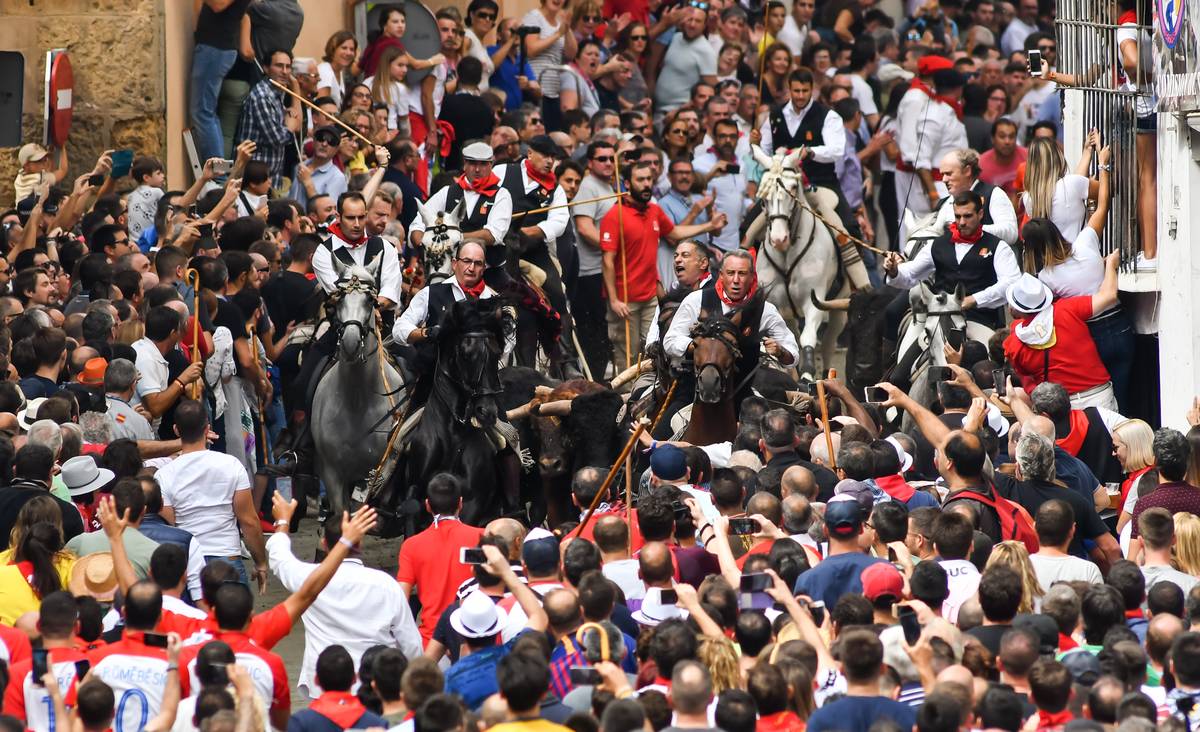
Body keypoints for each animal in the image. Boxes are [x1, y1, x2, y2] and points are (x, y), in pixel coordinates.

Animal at [309, 256, 403, 518]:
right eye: (338, 299)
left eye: (370, 300)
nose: (350, 343)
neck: (357, 401)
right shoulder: (332, 475)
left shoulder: (380, 473)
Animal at [753, 144, 849, 379]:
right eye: (763, 194)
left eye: (793, 187)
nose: (779, 239)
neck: (787, 254)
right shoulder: (777, 306)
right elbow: (789, 342)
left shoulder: (814, 301)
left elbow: (807, 339)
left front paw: (807, 377)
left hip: (839, 307)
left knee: (828, 343)